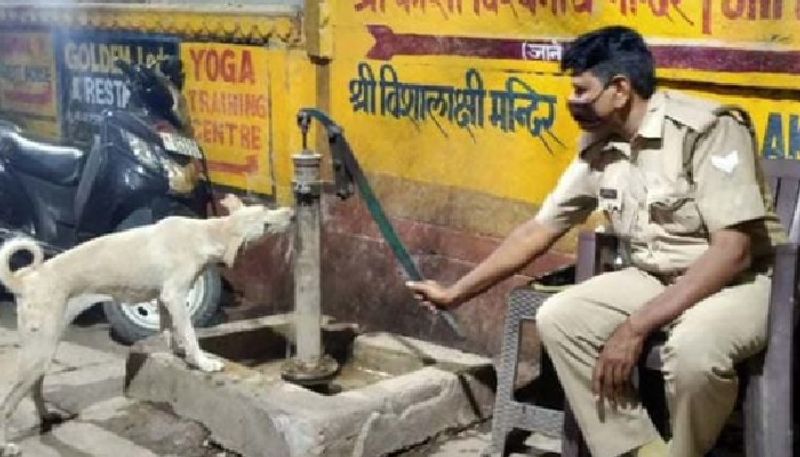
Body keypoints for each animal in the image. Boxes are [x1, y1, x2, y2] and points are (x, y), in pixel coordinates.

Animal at [0, 194, 294, 454]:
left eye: (266, 210)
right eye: (265, 224)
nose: (291, 213)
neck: (207, 232)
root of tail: (24, 280)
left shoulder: (164, 299)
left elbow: (170, 330)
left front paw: (177, 352)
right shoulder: (174, 295)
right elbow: (189, 333)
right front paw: (202, 362)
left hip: (44, 349)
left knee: (35, 388)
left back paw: (46, 416)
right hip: (39, 351)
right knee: (7, 404)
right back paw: (7, 445)